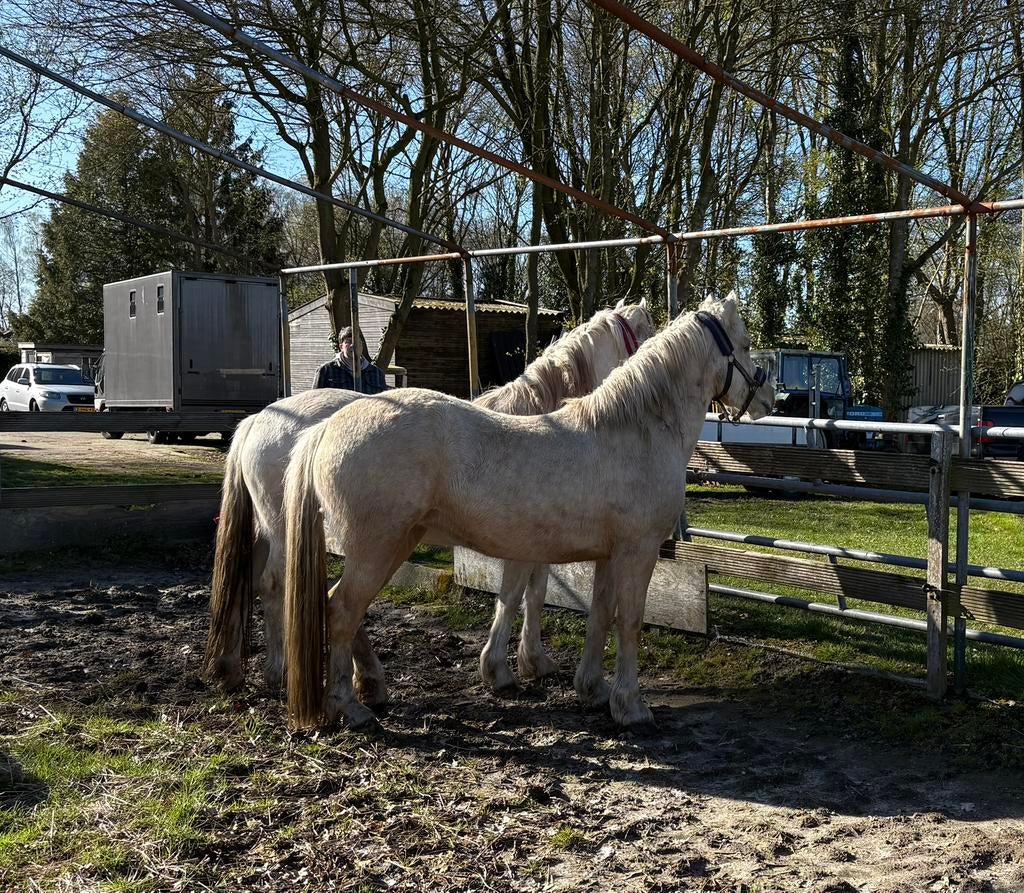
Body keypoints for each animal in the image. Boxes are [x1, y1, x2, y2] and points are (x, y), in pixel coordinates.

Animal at [203, 300, 655, 694]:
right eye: (646, 334)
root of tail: (260, 420)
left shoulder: (540, 540)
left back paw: (240, 668)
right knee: (279, 587)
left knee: (259, 582)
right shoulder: (522, 544)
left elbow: (535, 593)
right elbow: (514, 595)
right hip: (296, 533)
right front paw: (505, 668)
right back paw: (285, 671)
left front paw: (533, 661)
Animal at [282, 292, 774, 730]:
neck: (634, 431)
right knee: (342, 611)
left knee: (342, 609)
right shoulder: (638, 551)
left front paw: (592, 689)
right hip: (379, 549)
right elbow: (628, 621)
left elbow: (598, 615)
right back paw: (350, 706)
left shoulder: (608, 554)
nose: (769, 395)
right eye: (747, 343)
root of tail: (326, 427)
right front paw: (631, 707)